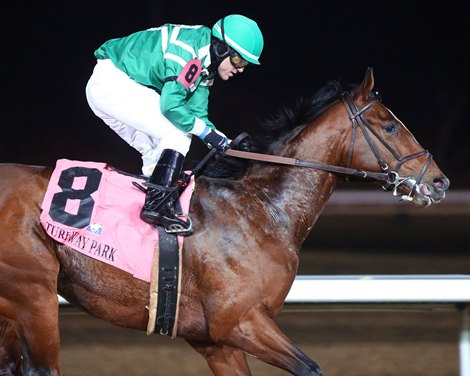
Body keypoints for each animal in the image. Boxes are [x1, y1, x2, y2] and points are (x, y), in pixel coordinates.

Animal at [0, 68, 448, 376]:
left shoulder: (213, 340)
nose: (439, 181)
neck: (263, 209)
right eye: (389, 125)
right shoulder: (239, 321)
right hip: (34, 295)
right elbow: (310, 367)